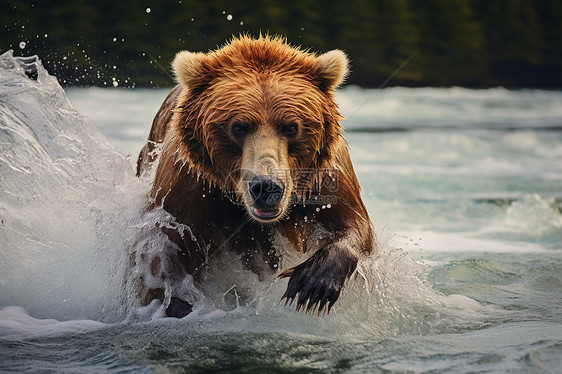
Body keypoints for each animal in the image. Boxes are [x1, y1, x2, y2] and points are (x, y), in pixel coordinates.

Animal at [135, 35, 372, 318]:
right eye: (238, 127)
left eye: (291, 127)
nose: (266, 187)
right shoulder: (190, 184)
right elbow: (163, 247)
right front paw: (178, 302)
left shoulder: (323, 177)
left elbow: (354, 226)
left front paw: (313, 284)